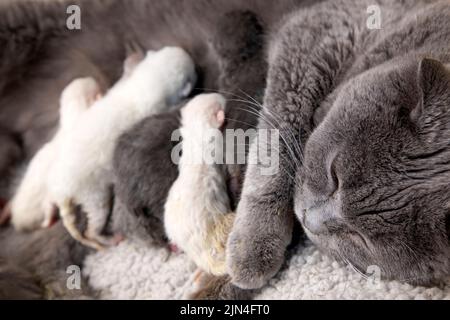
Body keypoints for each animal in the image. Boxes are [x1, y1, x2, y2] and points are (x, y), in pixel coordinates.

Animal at [48, 48, 197, 250]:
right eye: (192, 72)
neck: (143, 83)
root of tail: (61, 193)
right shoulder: (155, 108)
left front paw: (133, 59)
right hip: (92, 195)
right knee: (92, 226)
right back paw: (108, 238)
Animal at [230, 0, 450, 288]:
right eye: (333, 175)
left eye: (359, 237)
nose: (308, 219)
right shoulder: (322, 32)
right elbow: (277, 140)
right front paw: (251, 248)